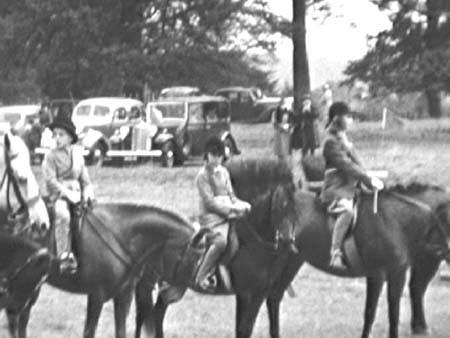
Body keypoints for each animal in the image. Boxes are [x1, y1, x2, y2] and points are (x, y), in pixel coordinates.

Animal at [0, 134, 205, 338]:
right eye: (191, 258)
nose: (172, 294)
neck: (122, 236)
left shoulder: (123, 297)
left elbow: (121, 331)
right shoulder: (96, 296)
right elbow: (90, 331)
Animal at [135, 159, 450, 338]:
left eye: (293, 211)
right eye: (280, 209)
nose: (444, 249)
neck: (393, 218)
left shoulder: (387, 272)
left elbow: (382, 308)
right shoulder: (388, 272)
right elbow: (387, 310)